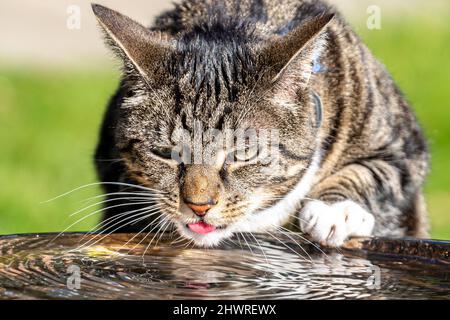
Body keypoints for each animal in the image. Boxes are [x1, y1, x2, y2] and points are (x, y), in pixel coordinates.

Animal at [90, 0, 428, 248]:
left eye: (243, 154)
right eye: (164, 153)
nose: (200, 206)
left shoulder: (404, 146)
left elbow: (375, 172)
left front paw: (335, 211)